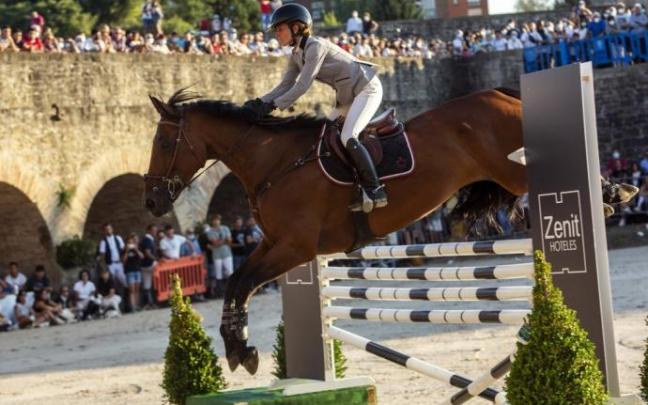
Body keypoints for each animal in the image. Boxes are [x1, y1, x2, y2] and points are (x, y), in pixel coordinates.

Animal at [144, 88, 636, 375]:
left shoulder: (295, 246)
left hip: (515, 172)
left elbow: (243, 282)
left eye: (164, 142)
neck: (276, 162)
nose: (151, 203)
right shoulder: (274, 243)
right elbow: (234, 282)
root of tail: (503, 93)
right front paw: (236, 347)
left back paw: (614, 193)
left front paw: (240, 347)